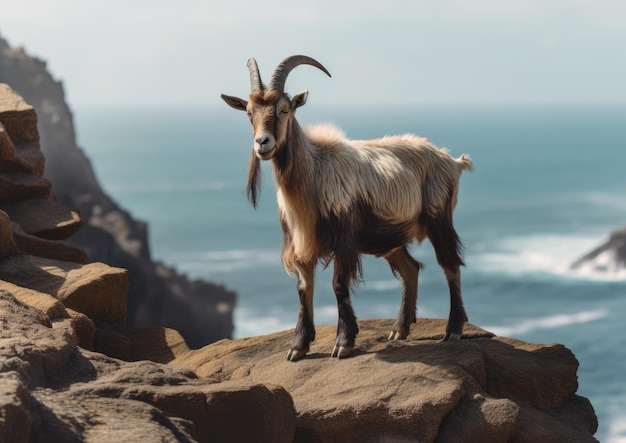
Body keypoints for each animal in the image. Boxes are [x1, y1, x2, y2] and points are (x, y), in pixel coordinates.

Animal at [222, 55, 470, 360]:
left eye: (284, 109)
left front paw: (343, 343)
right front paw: (298, 346)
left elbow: (338, 285)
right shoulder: (300, 243)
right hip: (389, 236)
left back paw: (453, 330)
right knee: (411, 268)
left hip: (439, 218)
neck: (314, 175)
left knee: (450, 265)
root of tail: (452, 160)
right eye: (248, 113)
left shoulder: (344, 239)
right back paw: (399, 330)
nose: (262, 143)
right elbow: (304, 289)